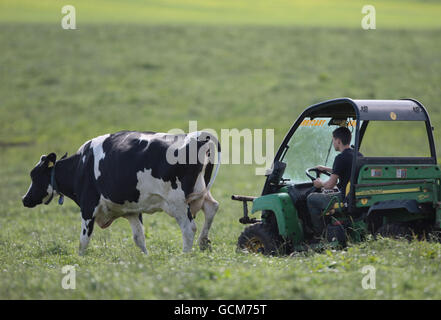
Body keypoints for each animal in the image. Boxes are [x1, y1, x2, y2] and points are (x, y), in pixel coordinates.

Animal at [21, 130, 220, 255]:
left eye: (34, 175)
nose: (25, 199)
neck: (81, 165)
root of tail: (197, 136)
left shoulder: (88, 207)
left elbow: (83, 240)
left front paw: (80, 262)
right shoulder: (132, 210)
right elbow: (139, 238)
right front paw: (146, 259)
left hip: (177, 202)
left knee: (188, 228)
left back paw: (184, 256)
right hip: (200, 193)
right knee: (212, 207)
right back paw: (203, 242)